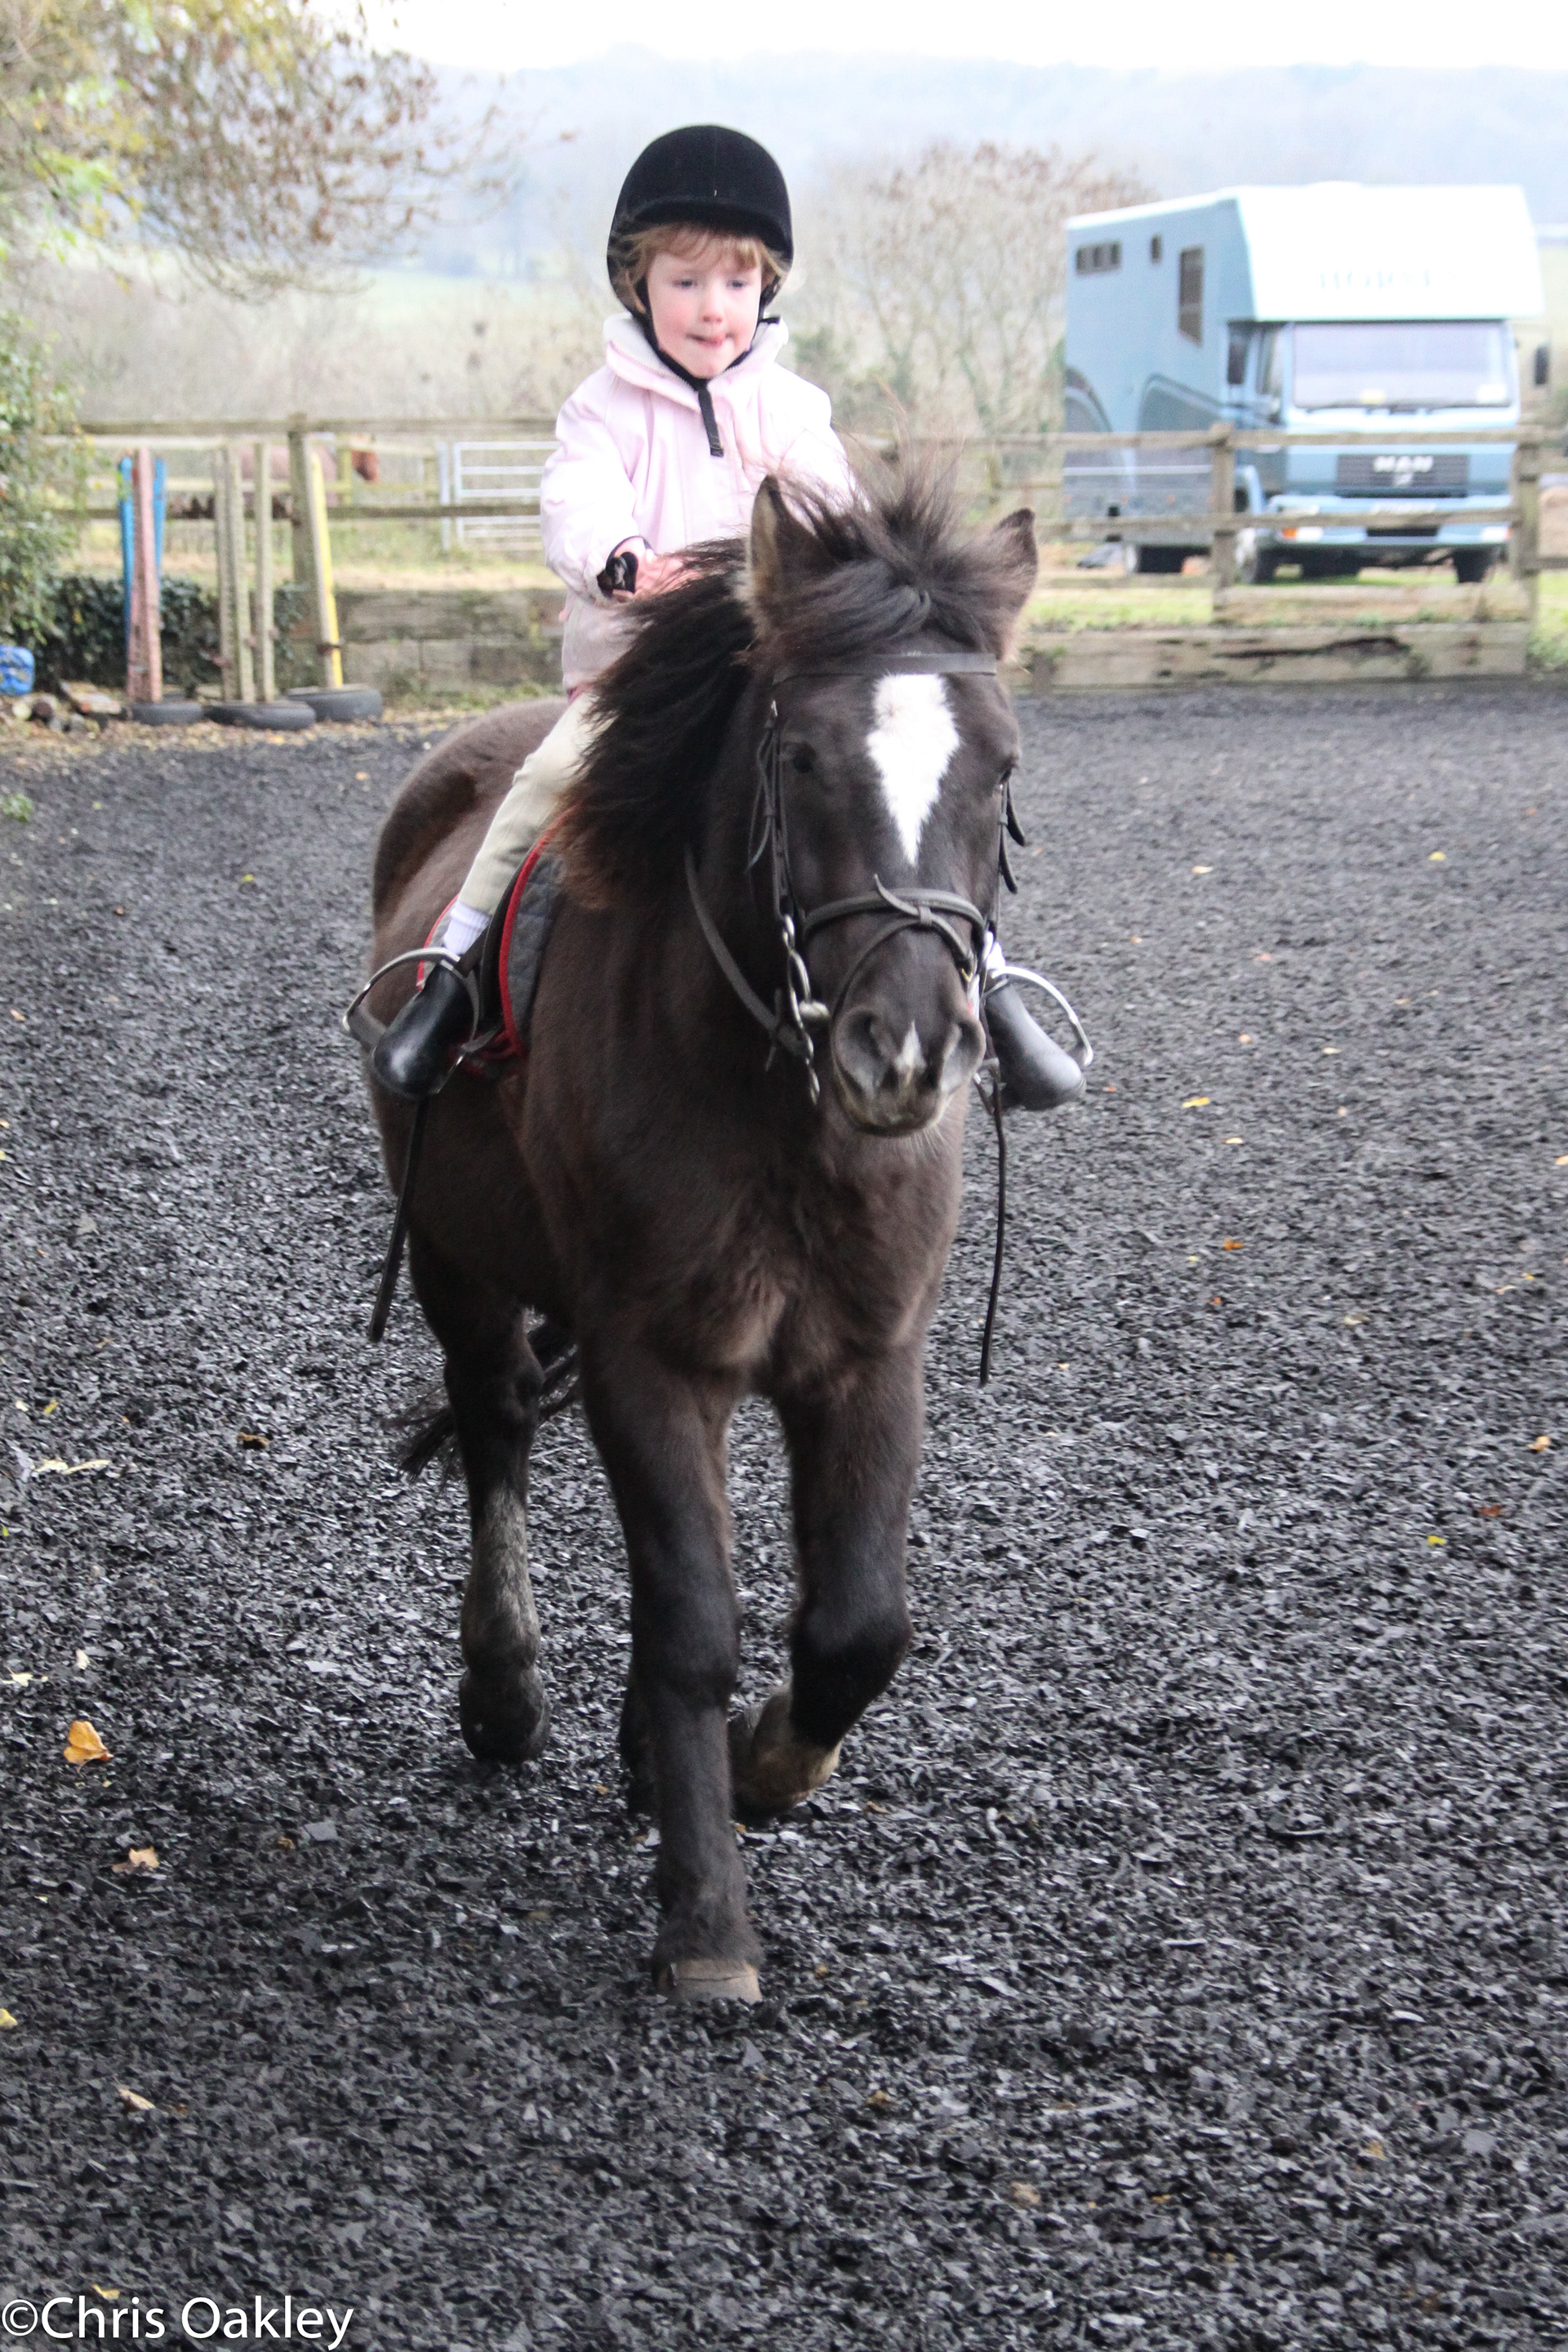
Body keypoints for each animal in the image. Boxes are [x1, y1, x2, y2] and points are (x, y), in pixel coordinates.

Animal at [362, 463, 1034, 2003]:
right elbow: (689, 1627)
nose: (906, 1053)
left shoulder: (868, 1358)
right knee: (494, 1422)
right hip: (456, 1257)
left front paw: (761, 1769)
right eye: (804, 761)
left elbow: (855, 1630)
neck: (779, 1101)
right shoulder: (653, 1357)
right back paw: (505, 1691)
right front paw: (708, 1921)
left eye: (1002, 769)